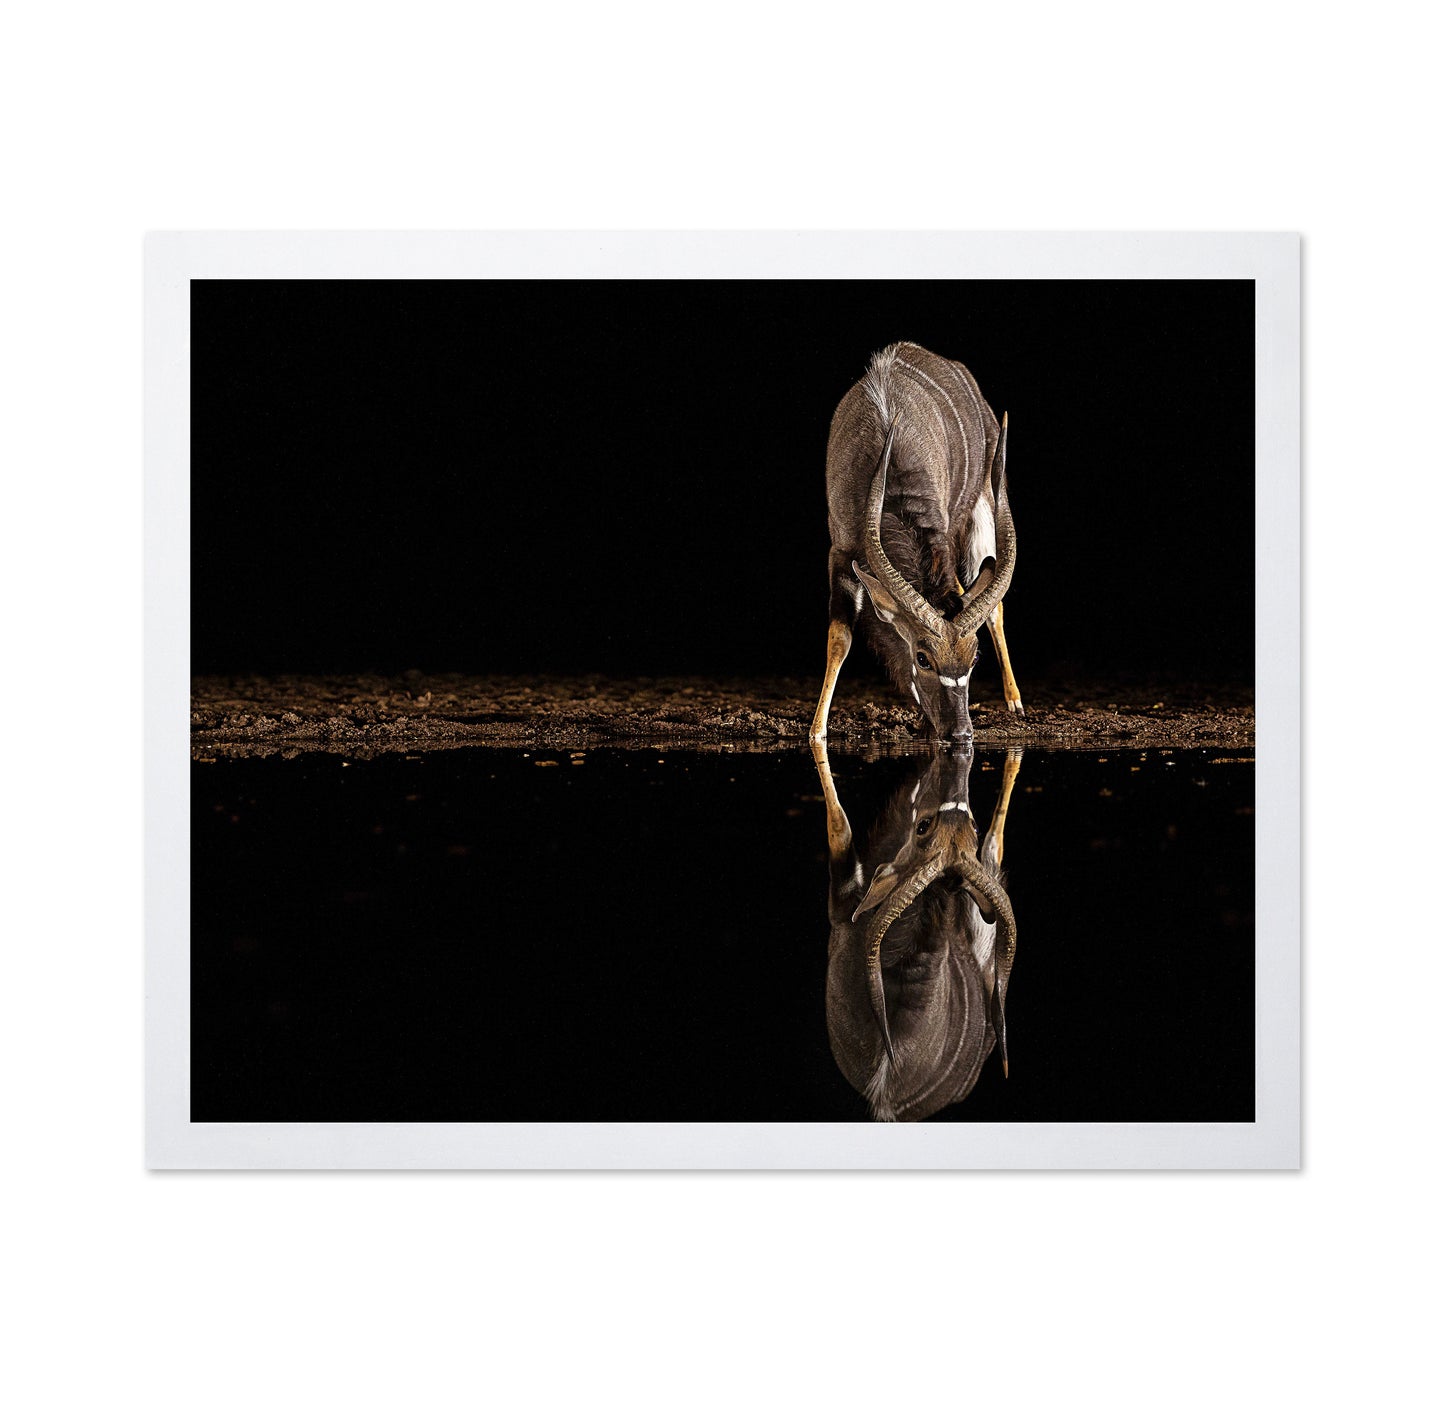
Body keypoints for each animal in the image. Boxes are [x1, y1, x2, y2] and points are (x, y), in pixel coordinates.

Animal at [809, 343, 1023, 745]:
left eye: (974, 659)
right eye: (922, 658)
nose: (961, 733)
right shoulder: (840, 553)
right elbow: (839, 638)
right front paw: (816, 731)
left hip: (983, 508)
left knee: (993, 606)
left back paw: (1016, 703)